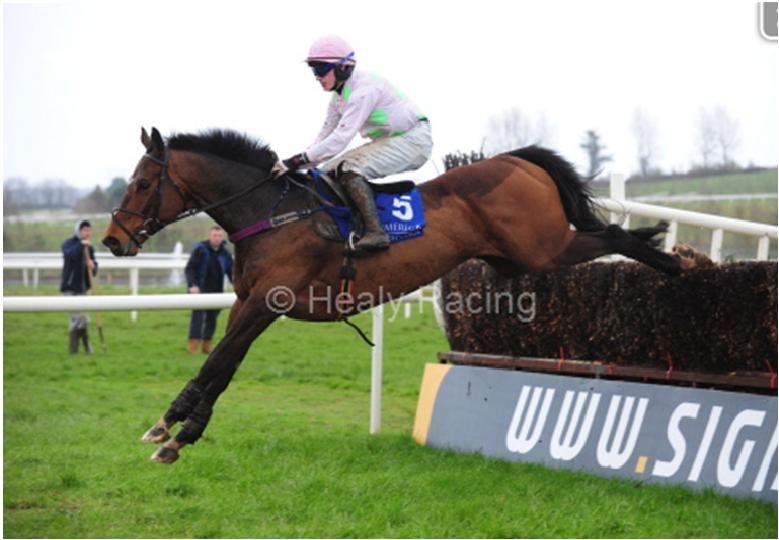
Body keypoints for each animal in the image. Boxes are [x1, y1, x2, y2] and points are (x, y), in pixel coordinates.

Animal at [103, 127, 684, 464]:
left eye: (140, 183)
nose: (112, 241)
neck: (273, 214)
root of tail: (519, 161)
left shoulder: (269, 303)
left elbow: (219, 362)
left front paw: (175, 433)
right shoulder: (247, 303)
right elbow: (220, 366)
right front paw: (174, 428)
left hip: (542, 248)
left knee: (613, 236)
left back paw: (676, 264)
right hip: (519, 257)